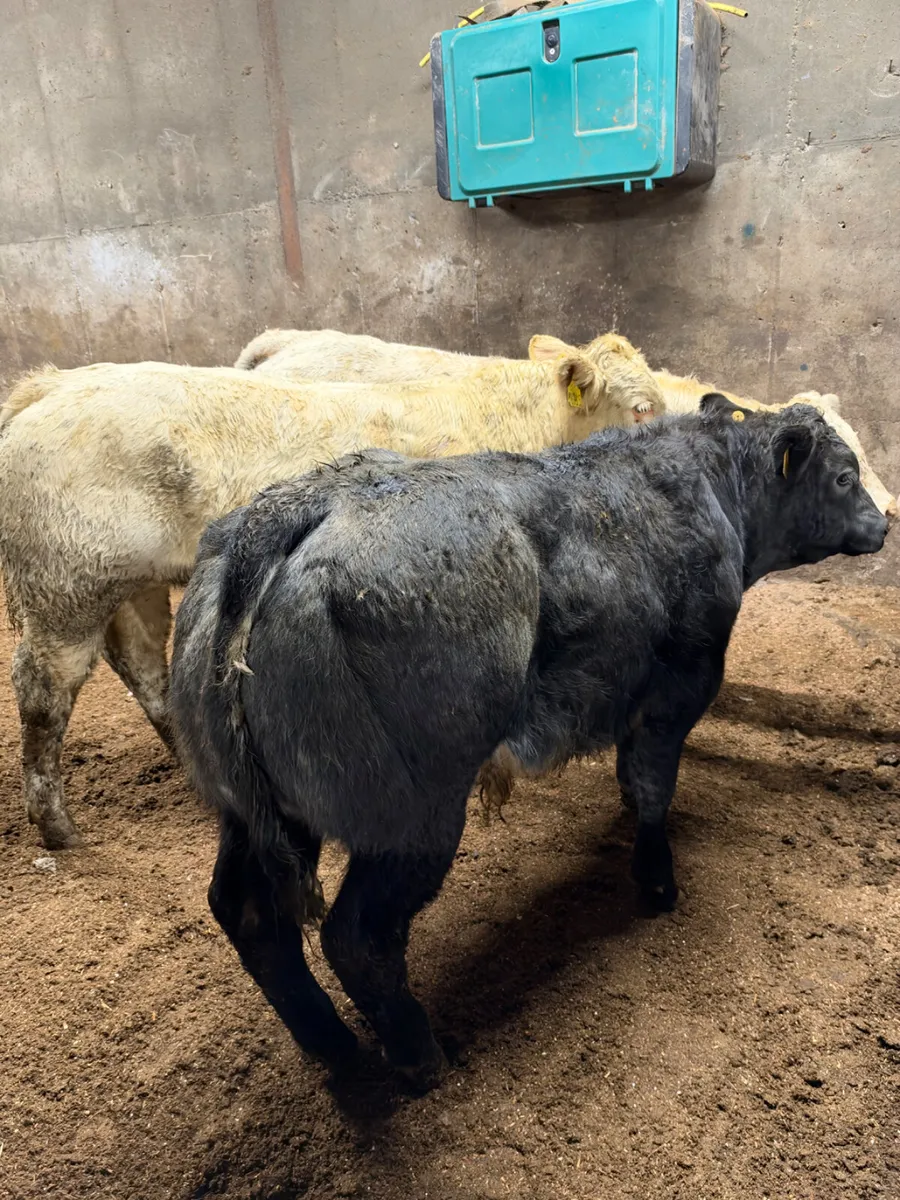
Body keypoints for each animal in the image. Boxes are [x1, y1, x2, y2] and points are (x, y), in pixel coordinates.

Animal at [0, 348, 660, 851]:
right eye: (640, 406)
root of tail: (52, 384)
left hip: (130, 583)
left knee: (142, 667)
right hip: (65, 585)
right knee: (44, 692)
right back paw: (56, 826)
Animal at [168, 396, 888, 1090]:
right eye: (844, 476)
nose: (882, 526)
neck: (708, 482)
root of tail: (296, 506)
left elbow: (633, 782)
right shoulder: (680, 684)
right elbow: (654, 785)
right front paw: (657, 884)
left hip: (250, 812)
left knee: (250, 917)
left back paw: (338, 1052)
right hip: (414, 812)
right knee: (358, 938)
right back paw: (420, 1060)